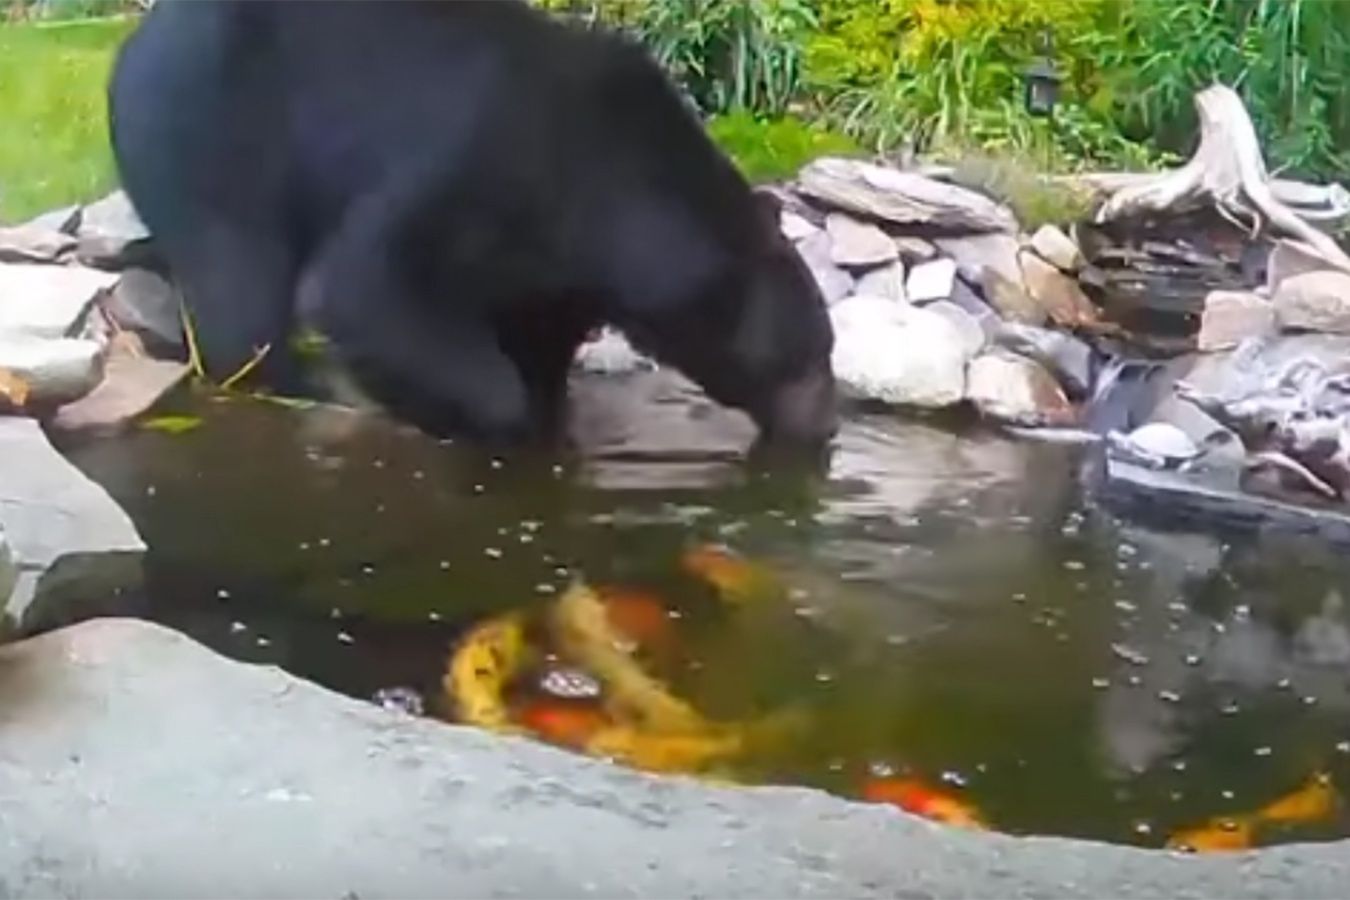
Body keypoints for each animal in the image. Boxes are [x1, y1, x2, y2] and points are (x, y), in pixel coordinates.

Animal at [108, 0, 831, 447]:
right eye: (810, 354)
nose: (825, 426)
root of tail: (137, 40)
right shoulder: (477, 158)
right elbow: (365, 286)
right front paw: (492, 416)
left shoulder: (559, 267)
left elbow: (536, 334)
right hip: (210, 123)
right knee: (240, 281)